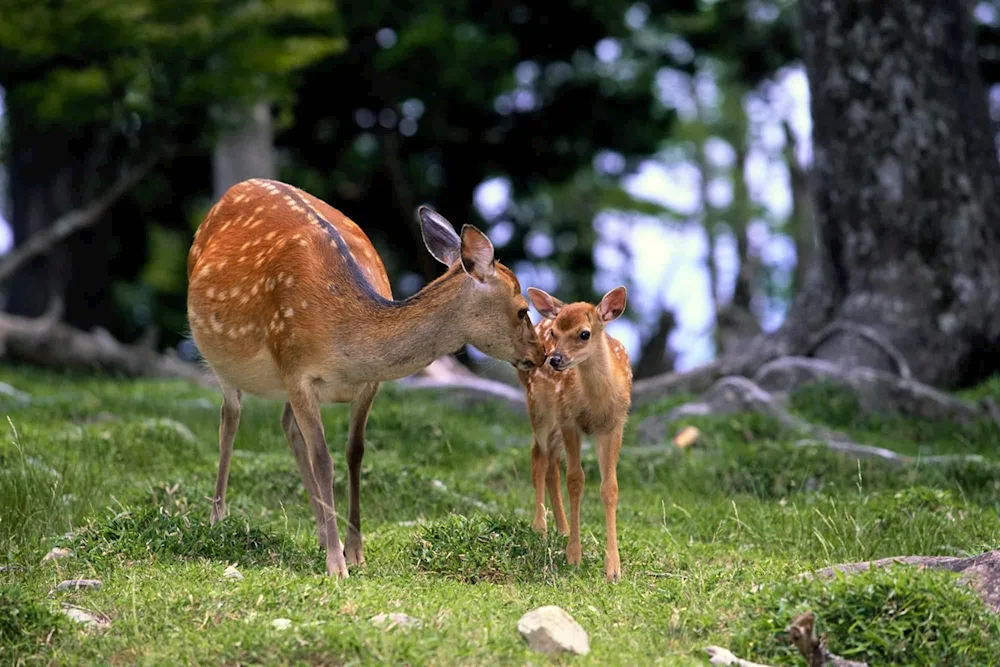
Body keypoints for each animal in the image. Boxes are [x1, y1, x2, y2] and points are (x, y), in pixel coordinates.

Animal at [188, 179, 548, 580]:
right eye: (522, 310)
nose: (541, 355)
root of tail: (234, 190)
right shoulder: (296, 370)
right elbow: (323, 458)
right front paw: (336, 564)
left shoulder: (367, 384)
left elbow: (354, 453)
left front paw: (355, 552)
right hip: (222, 359)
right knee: (230, 419)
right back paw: (218, 517)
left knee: (286, 425)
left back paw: (318, 531)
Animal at [516, 288, 632, 584]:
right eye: (555, 332)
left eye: (584, 333)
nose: (555, 359)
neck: (595, 402)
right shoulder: (570, 420)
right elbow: (575, 481)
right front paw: (573, 556)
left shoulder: (614, 425)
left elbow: (610, 488)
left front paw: (613, 569)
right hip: (540, 407)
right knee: (538, 457)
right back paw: (540, 527)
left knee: (551, 464)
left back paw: (563, 528)